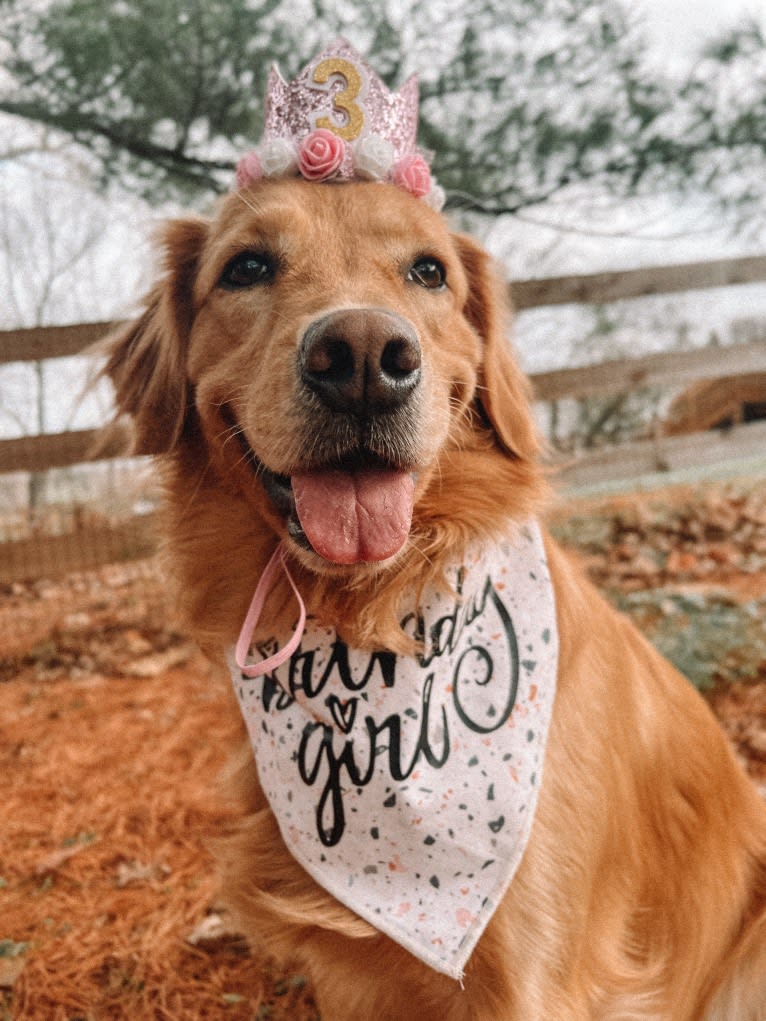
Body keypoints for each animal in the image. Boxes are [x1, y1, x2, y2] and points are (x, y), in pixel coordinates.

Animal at [105, 179, 766, 1016]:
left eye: (428, 271)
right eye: (247, 266)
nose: (361, 357)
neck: (371, 619)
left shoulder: (531, 978)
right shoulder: (353, 982)